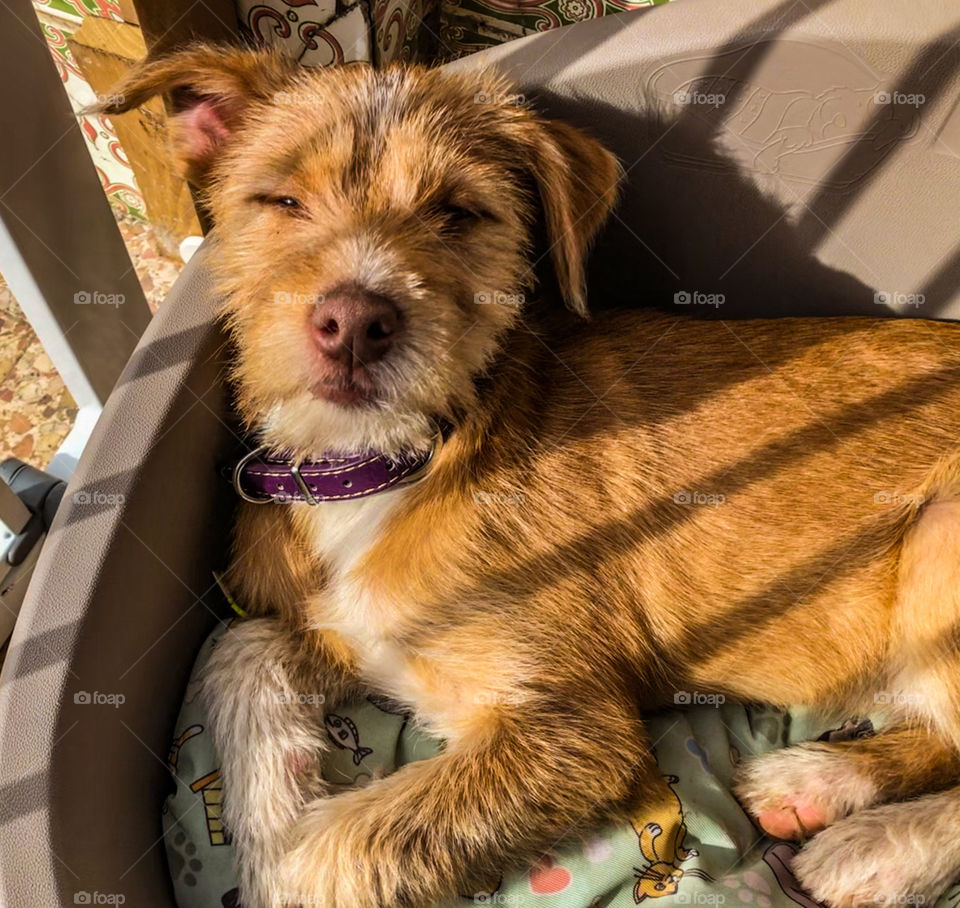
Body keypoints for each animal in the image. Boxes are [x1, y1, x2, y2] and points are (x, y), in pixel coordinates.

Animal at [101, 48, 960, 908]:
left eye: (457, 213)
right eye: (281, 200)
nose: (353, 324)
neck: (395, 461)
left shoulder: (577, 728)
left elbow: (330, 853)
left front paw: (282, 861)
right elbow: (239, 647)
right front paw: (268, 814)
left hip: (938, 533)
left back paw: (870, 845)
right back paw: (817, 783)